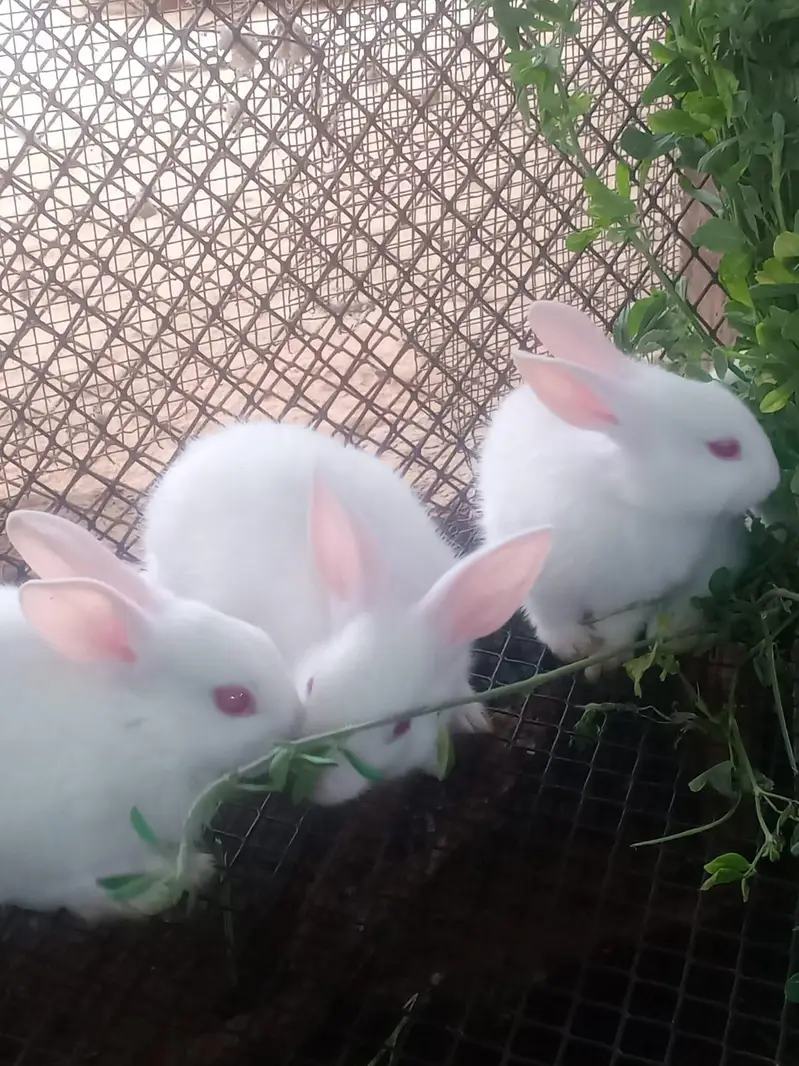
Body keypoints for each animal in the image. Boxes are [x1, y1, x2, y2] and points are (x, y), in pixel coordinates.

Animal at [0, 508, 300, 920]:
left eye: (262, 638)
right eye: (234, 699)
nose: (297, 721)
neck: (144, 728)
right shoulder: (62, 853)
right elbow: (77, 890)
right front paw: (171, 885)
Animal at [477, 300, 780, 678]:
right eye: (725, 448)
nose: (775, 478)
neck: (625, 496)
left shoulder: (631, 596)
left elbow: (619, 631)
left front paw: (602, 663)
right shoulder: (540, 583)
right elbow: (551, 622)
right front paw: (575, 650)